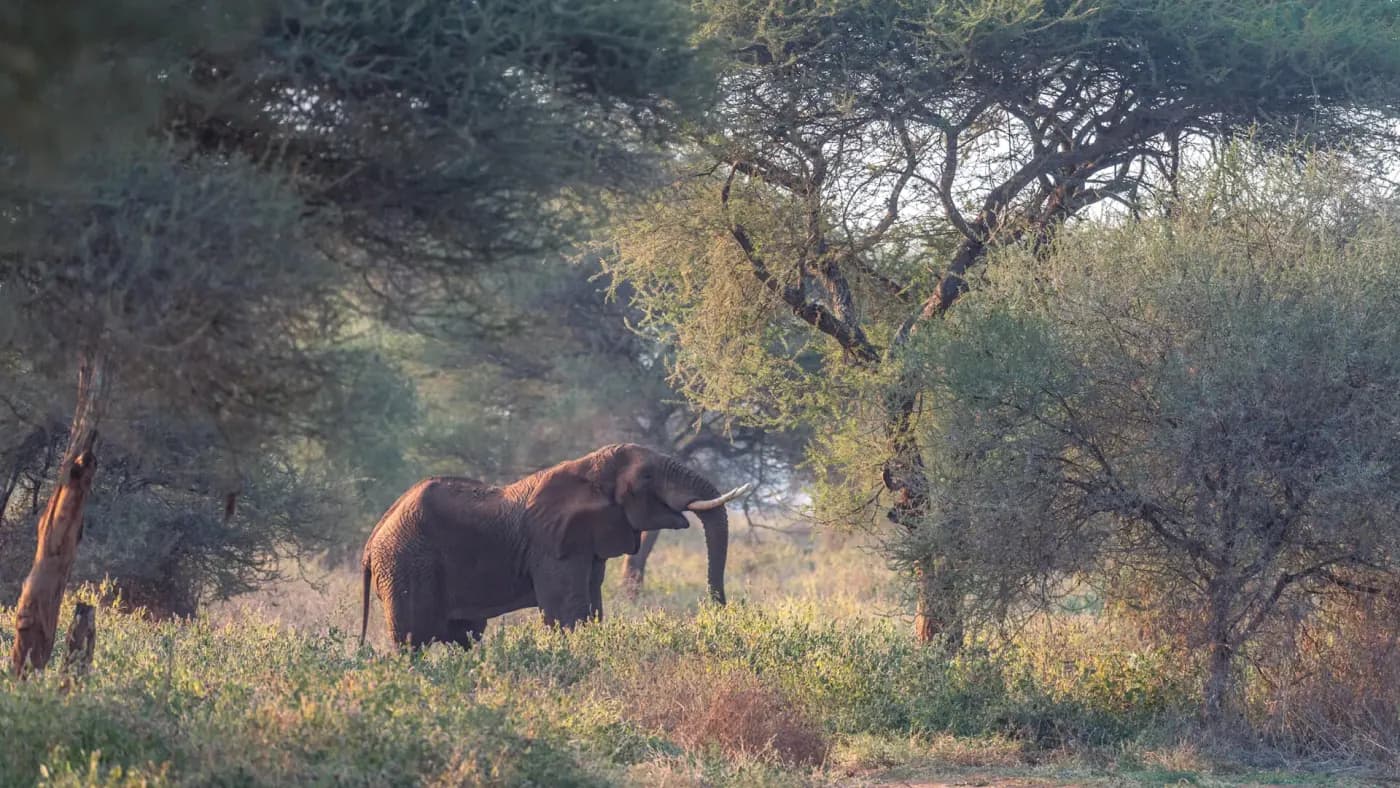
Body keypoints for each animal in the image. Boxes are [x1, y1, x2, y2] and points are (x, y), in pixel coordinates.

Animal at [358, 443, 751, 649]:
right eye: (647, 477)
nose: (721, 609)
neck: (587, 468)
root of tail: (371, 540)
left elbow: (591, 606)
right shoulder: (551, 544)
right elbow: (567, 611)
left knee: (464, 635)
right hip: (407, 563)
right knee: (412, 639)